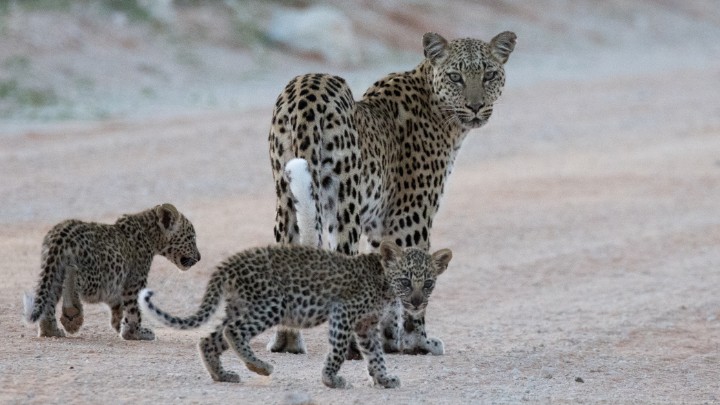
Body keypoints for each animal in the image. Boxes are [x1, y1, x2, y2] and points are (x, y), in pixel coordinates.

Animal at [23, 203, 201, 340]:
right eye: (191, 238)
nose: (199, 257)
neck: (149, 233)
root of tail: (61, 233)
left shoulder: (118, 286)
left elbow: (119, 306)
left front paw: (120, 326)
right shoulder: (135, 280)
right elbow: (134, 308)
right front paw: (135, 333)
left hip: (51, 269)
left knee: (49, 297)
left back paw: (50, 330)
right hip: (92, 276)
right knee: (72, 278)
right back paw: (72, 315)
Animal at [139, 240, 452, 389]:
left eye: (428, 283)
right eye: (405, 281)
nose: (417, 303)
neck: (385, 285)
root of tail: (231, 261)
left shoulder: (366, 326)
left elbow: (376, 356)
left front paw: (384, 380)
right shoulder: (342, 314)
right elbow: (339, 350)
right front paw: (331, 380)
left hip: (240, 306)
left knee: (209, 338)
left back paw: (223, 375)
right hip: (270, 304)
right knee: (233, 332)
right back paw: (260, 367)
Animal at [267, 31, 516, 356]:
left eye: (489, 75)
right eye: (455, 77)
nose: (475, 106)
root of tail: (306, 91)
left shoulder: (380, 224)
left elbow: (390, 275)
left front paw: (388, 339)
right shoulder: (411, 216)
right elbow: (415, 275)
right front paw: (416, 341)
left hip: (286, 198)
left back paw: (287, 341)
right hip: (344, 204)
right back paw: (350, 349)